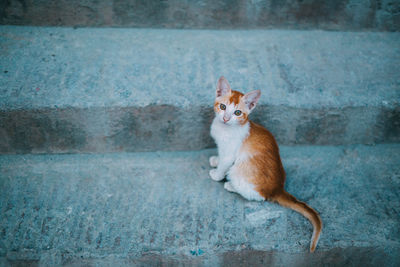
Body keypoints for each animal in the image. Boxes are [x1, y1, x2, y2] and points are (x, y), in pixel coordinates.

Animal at [209, 76, 322, 253]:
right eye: (223, 106)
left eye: (237, 113)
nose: (226, 118)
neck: (226, 128)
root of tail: (278, 188)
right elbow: (220, 157)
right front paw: (215, 160)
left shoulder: (229, 154)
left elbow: (224, 164)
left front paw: (216, 175)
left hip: (239, 172)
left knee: (260, 197)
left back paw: (231, 186)